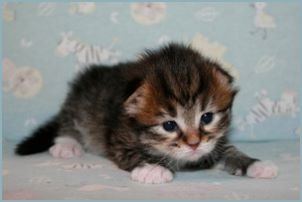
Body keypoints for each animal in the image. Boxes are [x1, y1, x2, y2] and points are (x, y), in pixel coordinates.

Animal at [15, 43, 278, 184]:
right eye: (169, 125)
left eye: (207, 117)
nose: (194, 144)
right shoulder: (119, 137)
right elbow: (133, 153)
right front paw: (153, 168)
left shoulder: (213, 144)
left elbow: (227, 150)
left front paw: (254, 164)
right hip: (82, 100)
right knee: (68, 119)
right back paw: (67, 144)